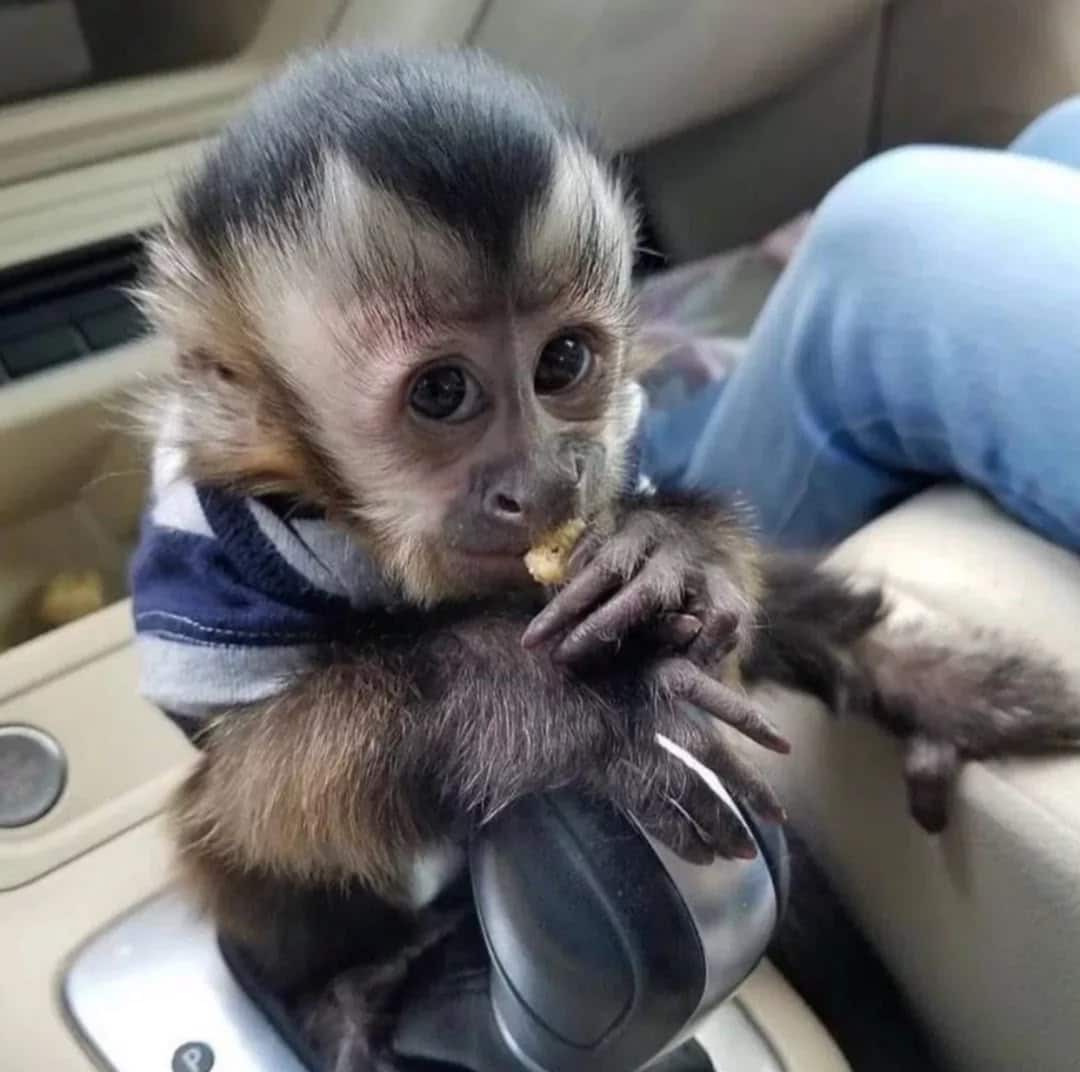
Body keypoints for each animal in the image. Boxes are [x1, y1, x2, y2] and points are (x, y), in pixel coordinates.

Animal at [128, 46, 1080, 1070]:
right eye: (442, 391)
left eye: (563, 362)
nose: (544, 481)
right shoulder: (214, 544)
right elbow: (257, 776)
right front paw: (567, 704)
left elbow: (706, 598)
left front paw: (665, 552)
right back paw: (341, 990)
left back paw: (938, 684)